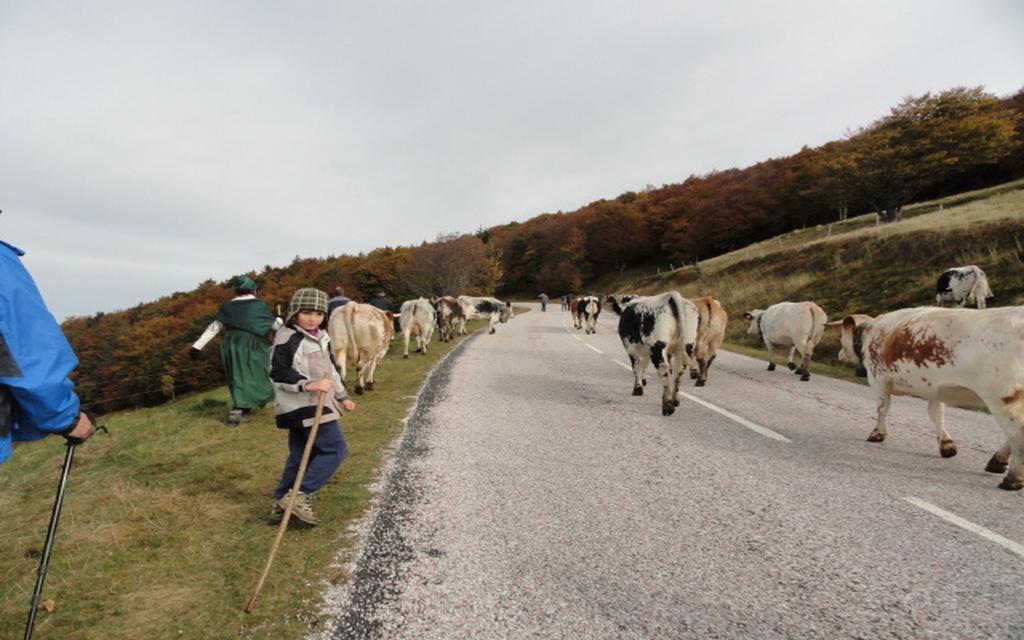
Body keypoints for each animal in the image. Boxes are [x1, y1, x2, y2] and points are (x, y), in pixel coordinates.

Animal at [831, 307, 1024, 491]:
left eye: (841, 335)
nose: (839, 354)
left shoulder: (878, 380)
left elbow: (882, 408)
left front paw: (877, 434)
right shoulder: (935, 390)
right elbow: (936, 415)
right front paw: (947, 445)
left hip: (1001, 396)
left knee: (1017, 432)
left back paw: (1012, 479)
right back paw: (997, 461)